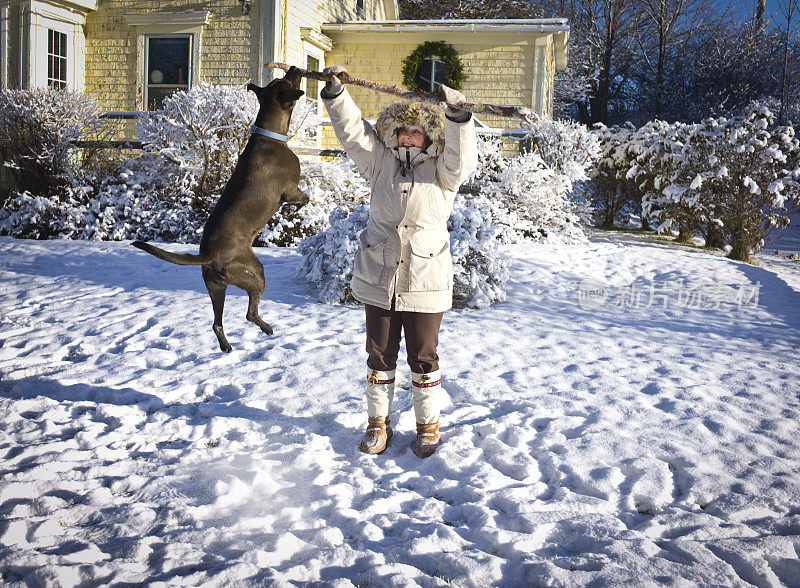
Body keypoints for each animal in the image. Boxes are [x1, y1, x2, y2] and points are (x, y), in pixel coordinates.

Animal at [133, 69, 308, 354]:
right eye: (287, 80)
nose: (294, 68)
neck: (269, 133)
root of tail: (209, 256)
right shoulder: (290, 189)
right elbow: (305, 198)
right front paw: (294, 208)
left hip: (216, 288)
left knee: (217, 323)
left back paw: (226, 346)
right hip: (254, 274)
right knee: (249, 313)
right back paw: (266, 328)